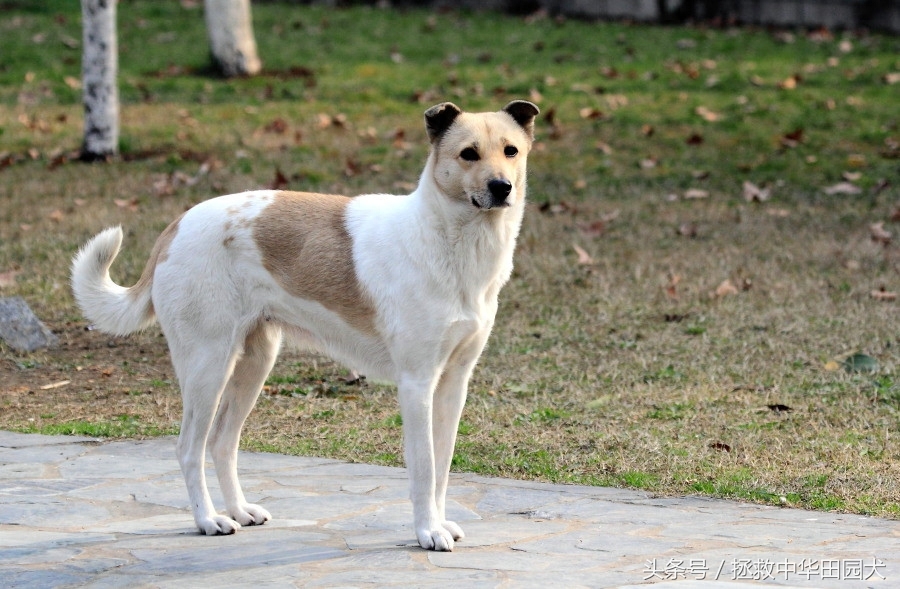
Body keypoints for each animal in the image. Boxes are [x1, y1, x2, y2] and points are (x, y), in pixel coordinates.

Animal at [72, 101, 536, 552]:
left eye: (511, 151)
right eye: (468, 154)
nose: (502, 187)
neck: (447, 241)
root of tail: (174, 227)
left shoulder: (453, 384)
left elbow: (441, 467)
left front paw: (439, 524)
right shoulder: (417, 384)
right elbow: (423, 468)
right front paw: (426, 532)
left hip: (255, 364)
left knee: (222, 442)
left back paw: (240, 511)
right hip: (208, 366)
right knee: (189, 447)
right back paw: (209, 520)